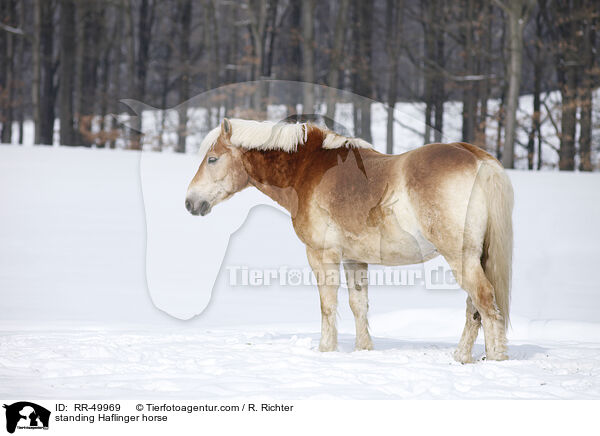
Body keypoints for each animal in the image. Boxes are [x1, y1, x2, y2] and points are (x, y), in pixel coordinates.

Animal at [185, 117, 512, 362]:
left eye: (212, 159)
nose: (190, 202)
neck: (308, 170)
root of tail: (479, 160)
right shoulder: (355, 259)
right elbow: (359, 305)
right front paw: (363, 350)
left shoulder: (321, 254)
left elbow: (328, 305)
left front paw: (326, 350)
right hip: (475, 257)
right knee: (475, 307)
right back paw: (462, 357)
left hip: (461, 257)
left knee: (484, 301)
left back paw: (494, 359)